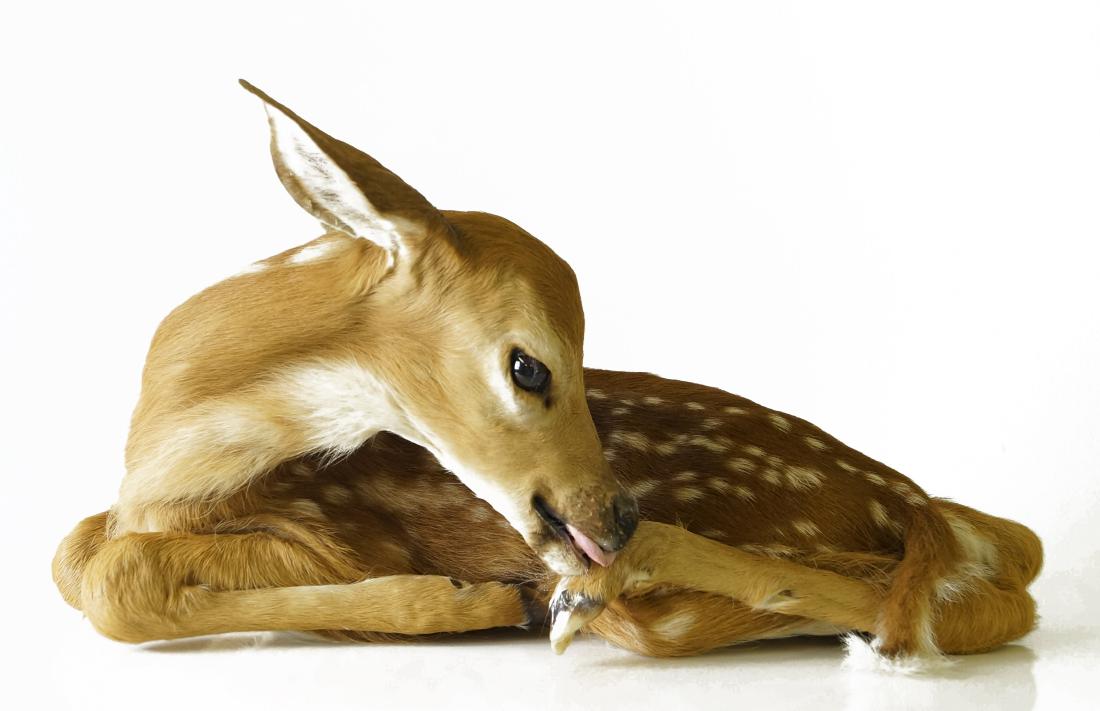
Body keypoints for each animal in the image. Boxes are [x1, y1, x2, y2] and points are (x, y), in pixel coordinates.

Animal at [52, 81, 1042, 671]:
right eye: (528, 365)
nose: (618, 514)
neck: (163, 463)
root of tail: (918, 500)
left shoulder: (342, 528)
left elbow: (112, 580)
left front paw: (461, 599)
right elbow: (77, 560)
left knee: (936, 603)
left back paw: (585, 591)